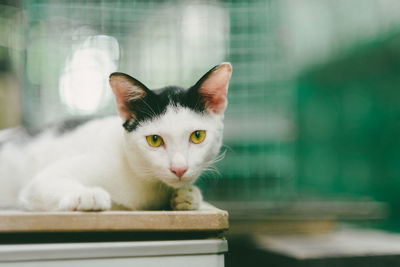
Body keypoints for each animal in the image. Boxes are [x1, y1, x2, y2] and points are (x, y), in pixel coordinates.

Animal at [0, 62, 231, 211]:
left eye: (198, 136)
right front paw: (87, 195)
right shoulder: (39, 182)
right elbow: (45, 183)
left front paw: (188, 196)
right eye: (154, 140)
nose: (179, 169)